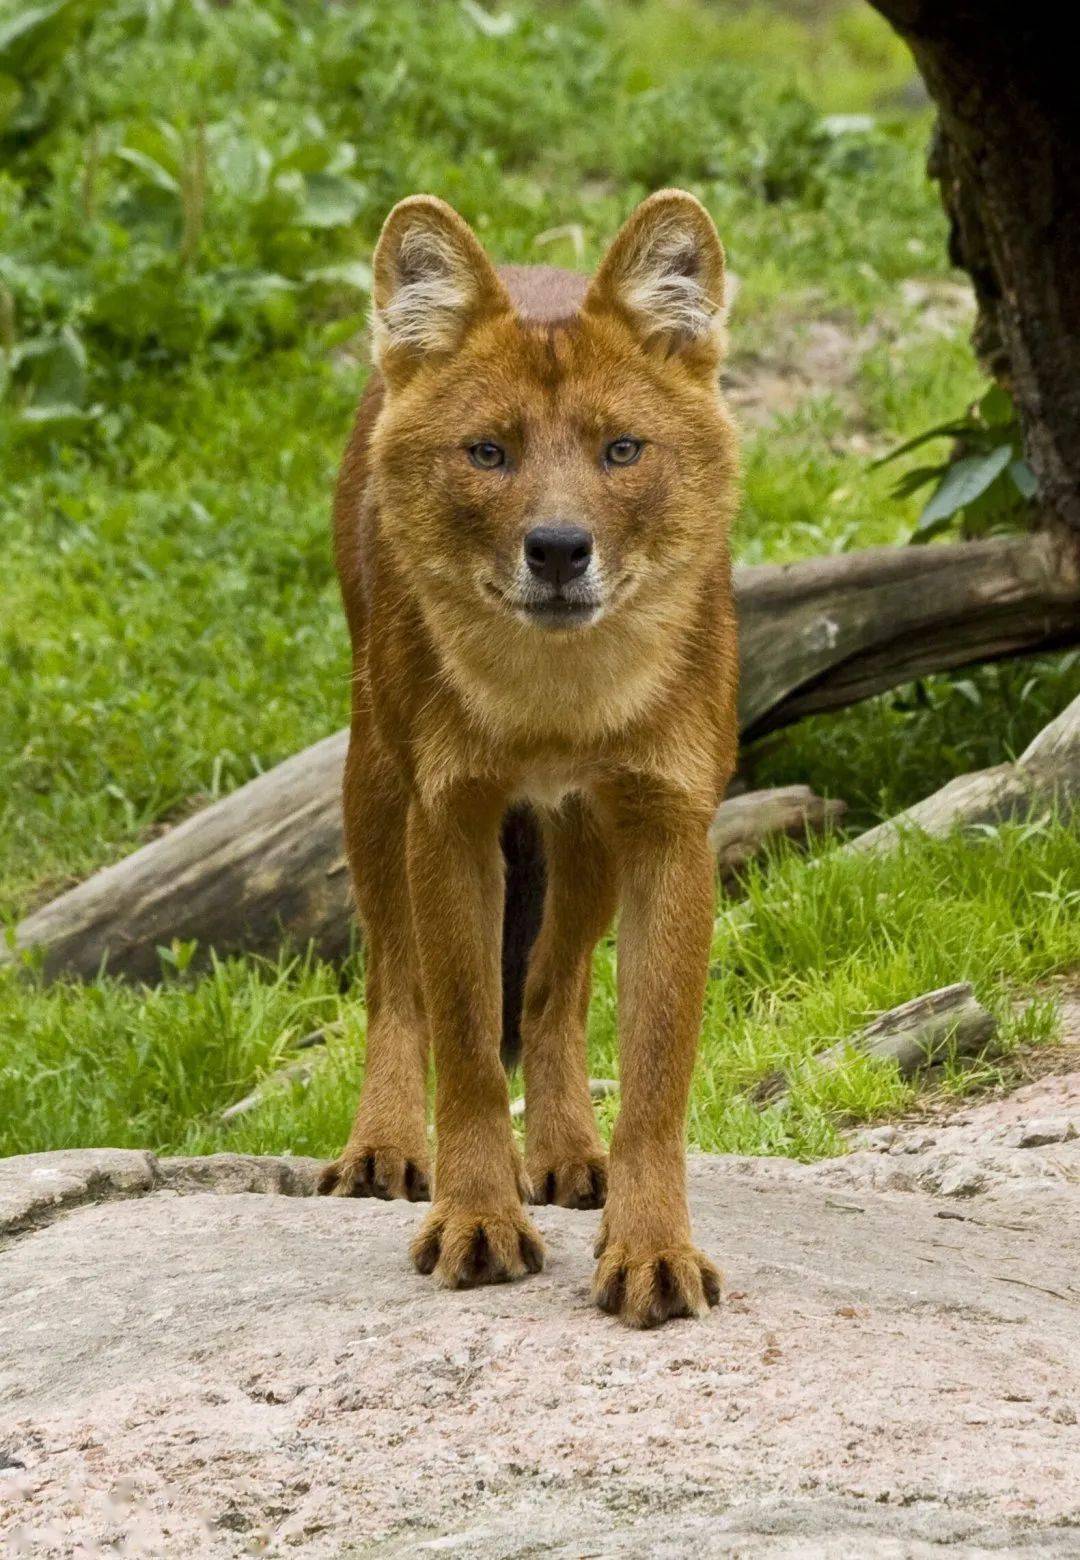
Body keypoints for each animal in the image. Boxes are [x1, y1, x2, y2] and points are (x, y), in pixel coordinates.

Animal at [319, 188, 739, 1322]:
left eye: (623, 450)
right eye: (489, 454)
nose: (556, 548)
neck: (556, 700)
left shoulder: (667, 824)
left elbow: (655, 1074)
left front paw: (650, 1248)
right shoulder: (451, 817)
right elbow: (464, 1041)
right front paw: (476, 1219)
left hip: (582, 830)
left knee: (555, 987)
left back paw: (564, 1152)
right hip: (374, 774)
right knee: (395, 980)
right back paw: (383, 1148)